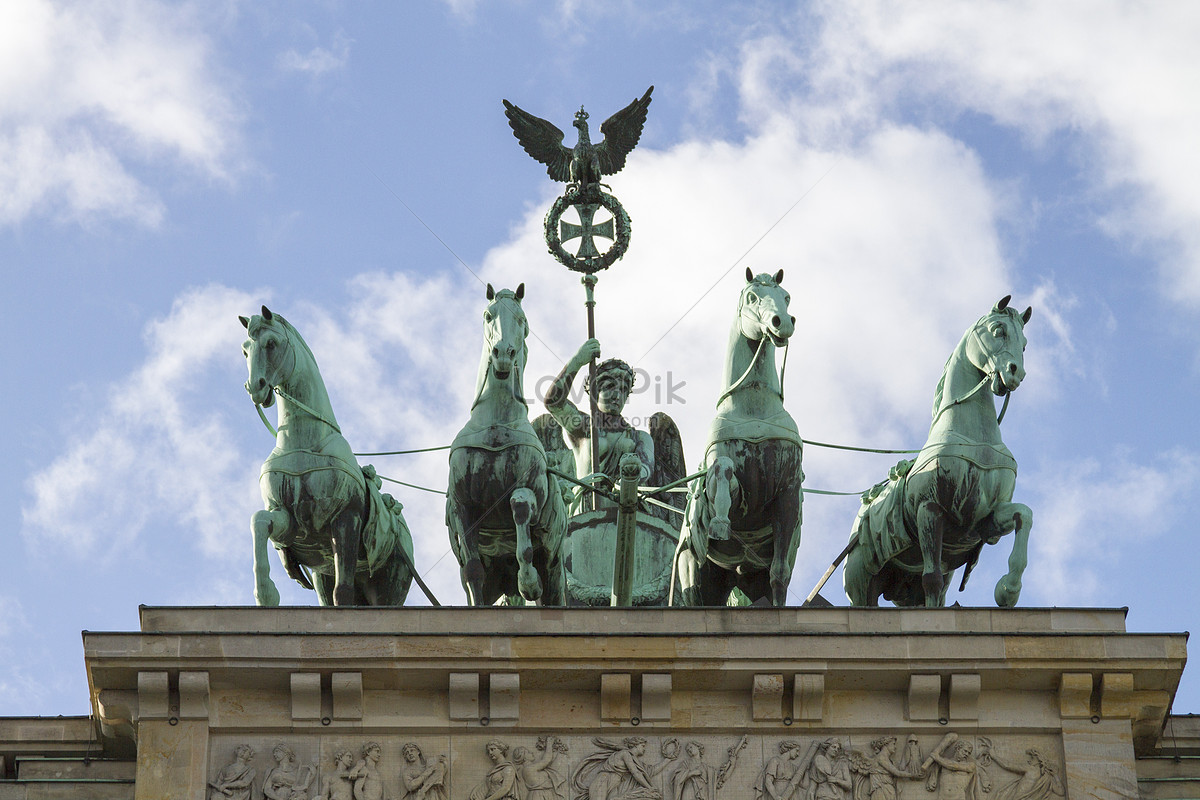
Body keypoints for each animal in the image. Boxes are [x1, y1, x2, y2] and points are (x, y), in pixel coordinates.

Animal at [241, 307, 415, 606]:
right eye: (245, 350)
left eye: (271, 343)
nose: (255, 387)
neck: (304, 442)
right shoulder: (290, 520)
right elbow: (259, 520)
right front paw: (266, 594)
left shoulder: (345, 518)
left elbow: (342, 593)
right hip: (324, 576)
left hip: (391, 583)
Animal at [844, 296, 1032, 606]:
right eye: (998, 330)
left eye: (1025, 343)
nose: (1016, 373)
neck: (971, 436)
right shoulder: (929, 509)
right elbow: (930, 578)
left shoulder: (984, 520)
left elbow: (1024, 515)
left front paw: (1008, 589)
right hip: (860, 580)